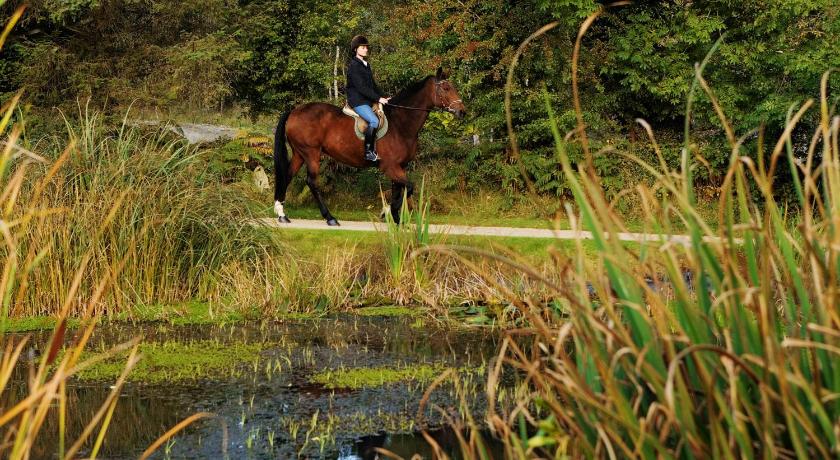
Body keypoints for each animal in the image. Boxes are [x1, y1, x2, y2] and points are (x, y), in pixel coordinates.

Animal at [274, 68, 466, 225]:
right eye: (446, 88)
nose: (462, 111)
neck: (400, 123)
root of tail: (294, 111)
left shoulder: (400, 166)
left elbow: (399, 189)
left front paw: (395, 218)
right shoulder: (389, 166)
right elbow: (409, 187)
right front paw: (387, 212)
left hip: (300, 154)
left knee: (287, 175)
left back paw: (282, 214)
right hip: (311, 153)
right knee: (311, 182)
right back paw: (330, 218)